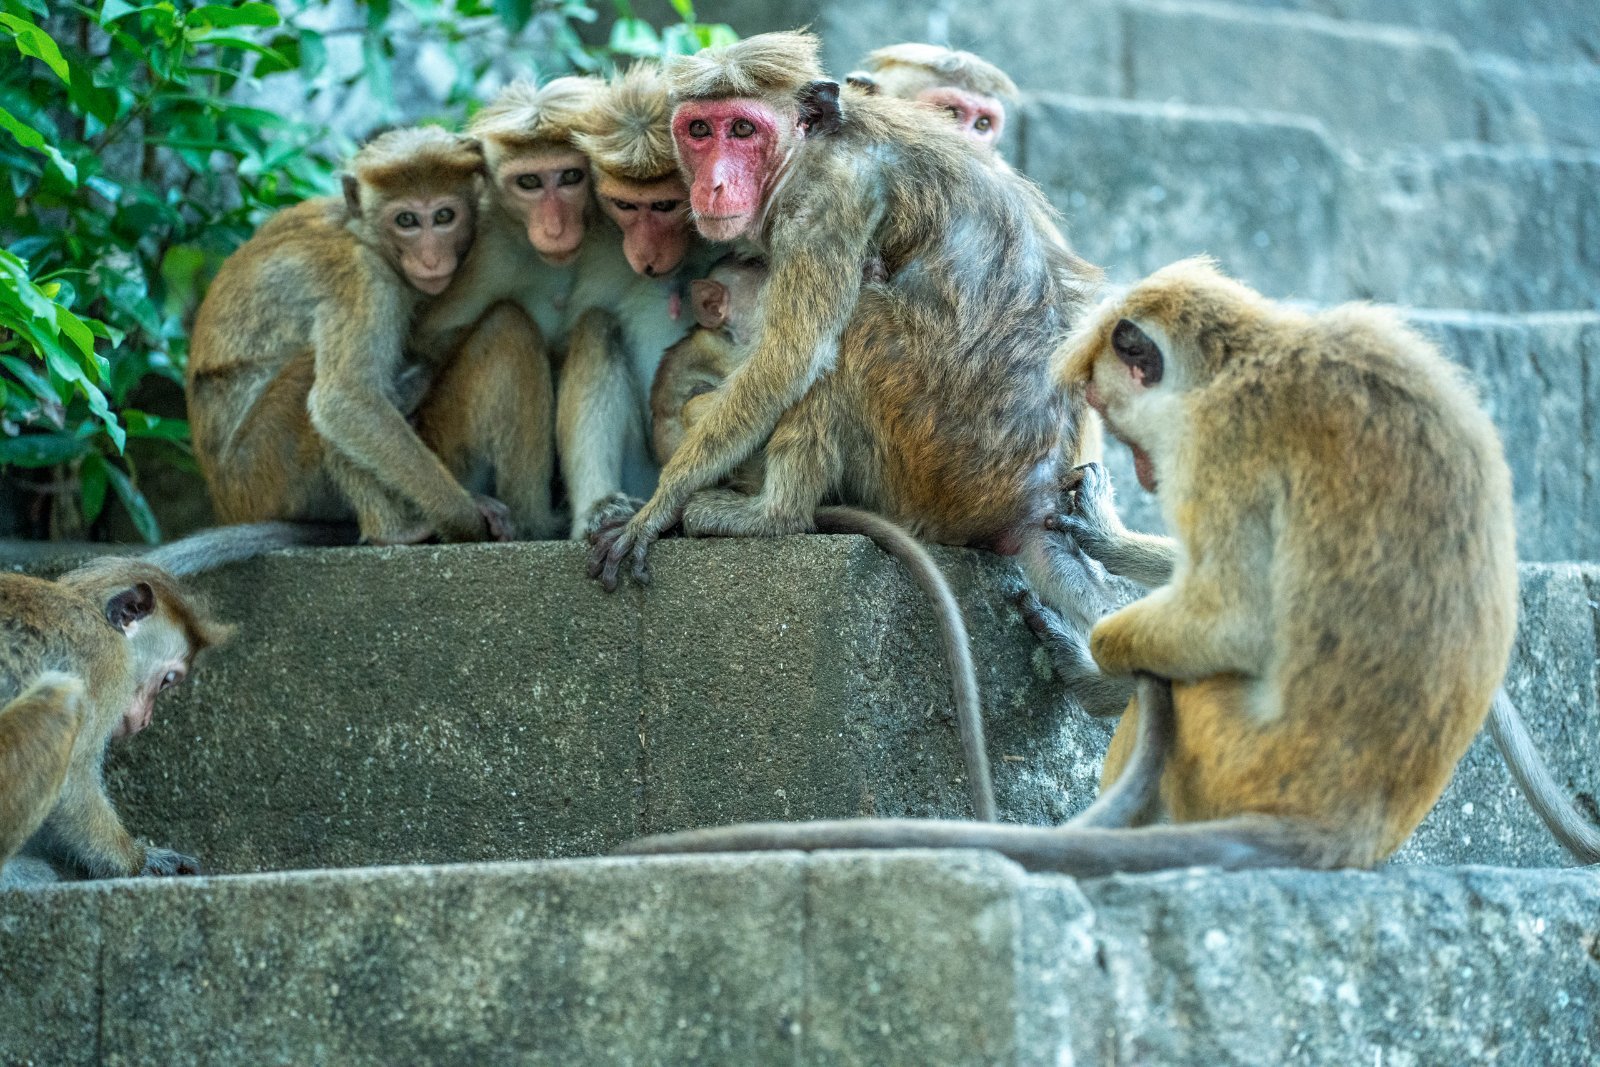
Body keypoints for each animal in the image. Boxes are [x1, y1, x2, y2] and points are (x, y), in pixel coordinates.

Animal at [0, 522, 344, 880]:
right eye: (167, 680)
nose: (146, 720)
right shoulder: (107, 666)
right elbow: (75, 780)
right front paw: (139, 861)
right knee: (62, 699)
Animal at [187, 125, 559, 545]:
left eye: (444, 216)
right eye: (407, 220)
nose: (431, 258)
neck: (366, 236)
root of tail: (226, 504)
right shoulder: (364, 278)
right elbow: (347, 401)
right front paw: (463, 517)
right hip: (264, 474)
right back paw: (396, 531)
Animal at [615, 258, 1595, 874]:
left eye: (1115, 410)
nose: (1143, 469)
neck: (1264, 351)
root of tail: (1352, 827)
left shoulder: (1223, 437)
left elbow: (1227, 611)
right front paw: (1103, 535)